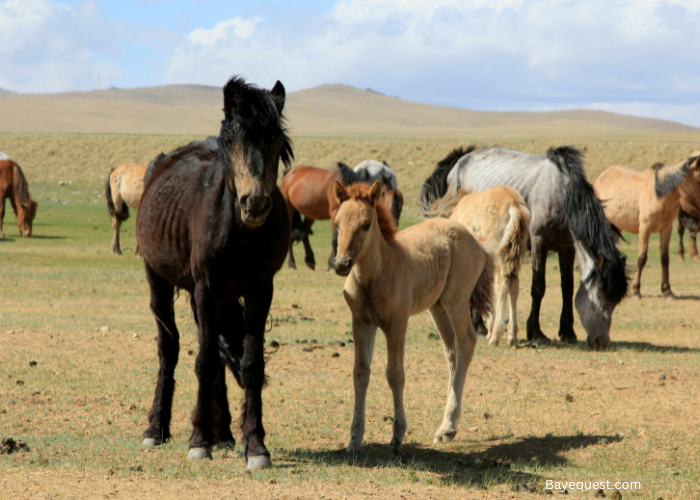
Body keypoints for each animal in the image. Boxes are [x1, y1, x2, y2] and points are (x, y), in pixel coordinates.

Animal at [135, 77, 292, 468]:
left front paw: (256, 446)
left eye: (277, 142)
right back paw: (156, 429)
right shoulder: (207, 288)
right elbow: (203, 360)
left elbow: (250, 364)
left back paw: (223, 434)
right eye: (232, 140)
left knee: (219, 352)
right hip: (159, 279)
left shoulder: (259, 290)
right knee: (169, 348)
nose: (256, 203)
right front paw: (198, 441)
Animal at [334, 181, 492, 454]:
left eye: (366, 224)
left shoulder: (397, 323)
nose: (342, 263)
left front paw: (397, 438)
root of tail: (475, 240)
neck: (377, 272)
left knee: (466, 342)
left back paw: (448, 427)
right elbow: (360, 373)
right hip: (437, 307)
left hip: (456, 300)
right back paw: (446, 423)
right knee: (451, 350)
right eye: (337, 223)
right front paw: (354, 440)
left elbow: (395, 374)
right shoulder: (362, 322)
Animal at [426, 186, 532, 346]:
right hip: (515, 253)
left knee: (502, 284)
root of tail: (513, 203)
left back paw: (495, 335)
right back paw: (511, 336)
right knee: (513, 285)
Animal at [592, 154, 700, 298]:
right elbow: (642, 258)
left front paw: (667, 291)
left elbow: (664, 259)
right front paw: (636, 290)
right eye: (699, 181)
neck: (659, 194)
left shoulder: (666, 229)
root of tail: (601, 176)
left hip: (615, 226)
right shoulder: (645, 229)